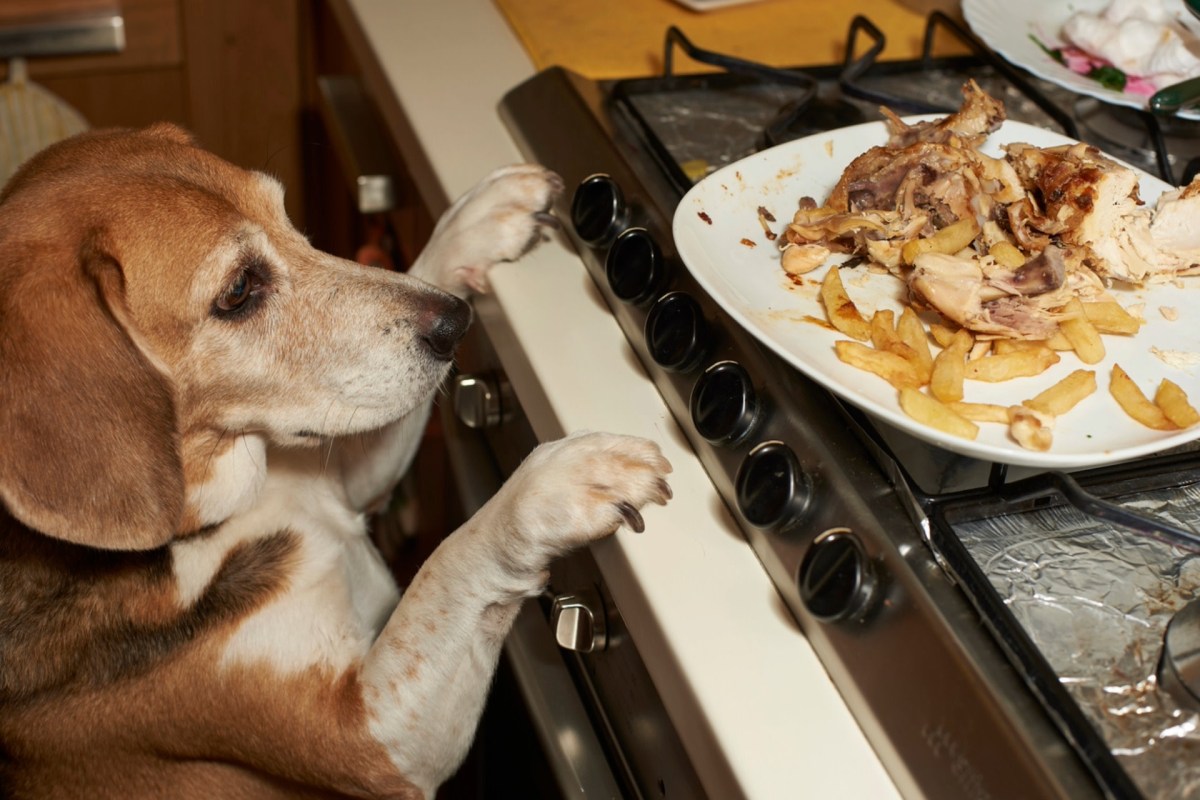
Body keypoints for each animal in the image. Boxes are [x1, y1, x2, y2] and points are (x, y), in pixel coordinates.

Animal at [0, 125, 676, 800]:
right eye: (238, 291)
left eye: (284, 215)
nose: (454, 324)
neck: (222, 522)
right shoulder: (370, 737)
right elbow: (451, 556)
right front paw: (553, 487)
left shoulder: (346, 479)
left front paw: (477, 220)